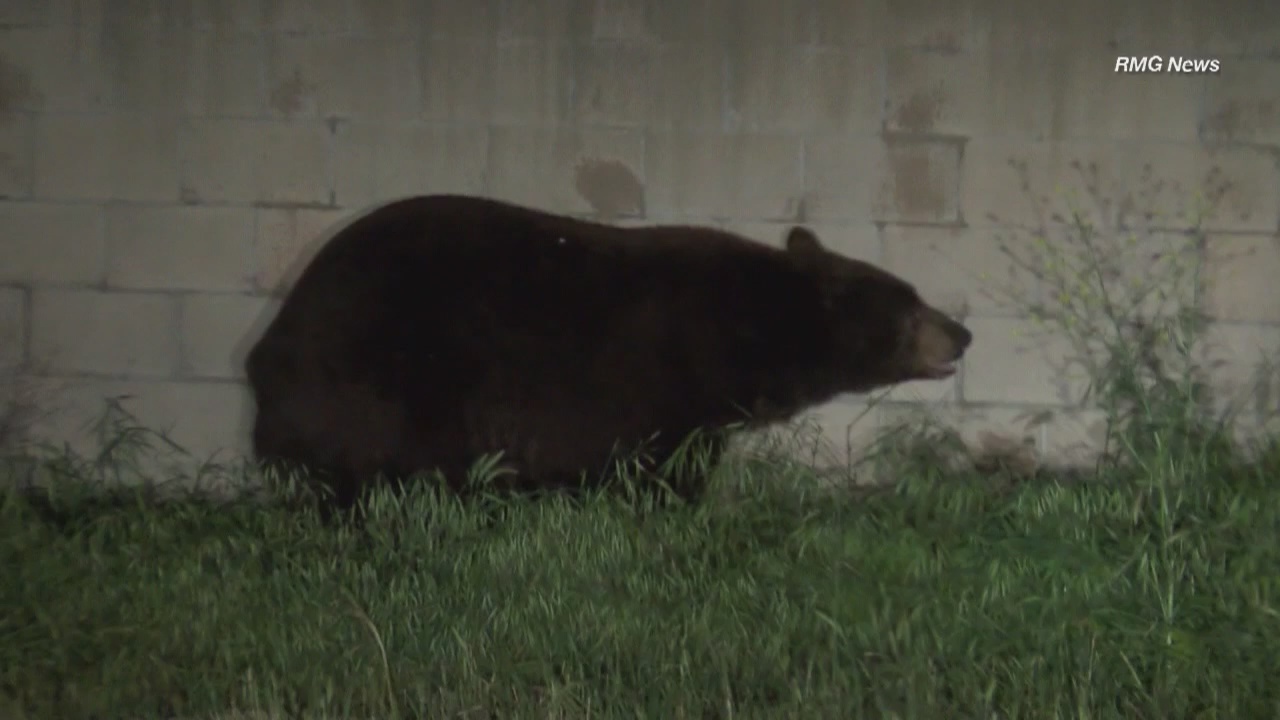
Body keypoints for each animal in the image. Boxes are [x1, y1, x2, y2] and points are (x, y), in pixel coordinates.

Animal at [244, 194, 972, 516]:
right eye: (912, 303)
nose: (963, 334)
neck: (753, 328)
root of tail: (268, 342)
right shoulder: (665, 384)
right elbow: (663, 468)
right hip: (378, 377)